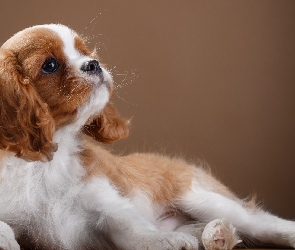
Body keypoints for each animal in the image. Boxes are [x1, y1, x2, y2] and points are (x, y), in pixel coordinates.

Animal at [0, 23, 294, 250]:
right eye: (49, 65)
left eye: (85, 52)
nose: (94, 64)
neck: (47, 164)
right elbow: (5, 225)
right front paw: (5, 239)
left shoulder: (106, 202)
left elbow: (133, 229)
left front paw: (163, 241)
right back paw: (215, 235)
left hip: (199, 197)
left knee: (261, 223)